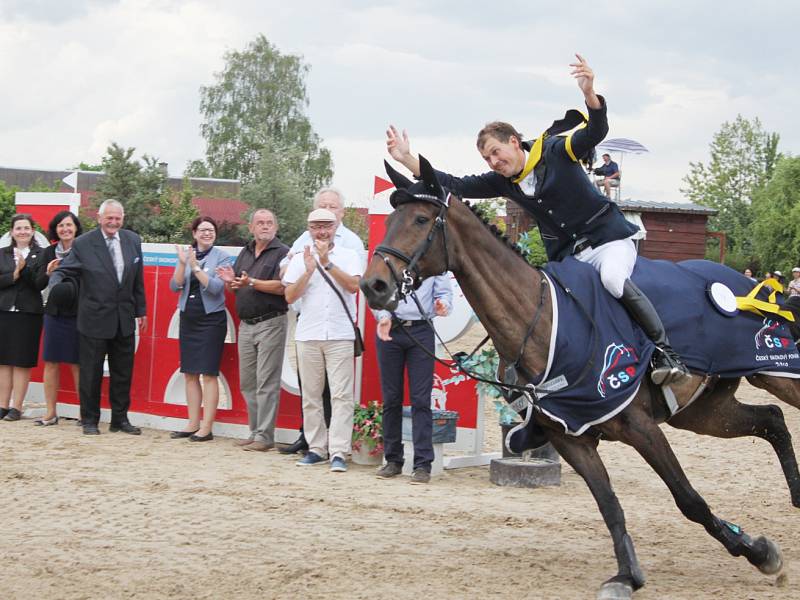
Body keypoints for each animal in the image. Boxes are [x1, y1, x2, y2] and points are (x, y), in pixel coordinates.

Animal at [360, 157, 796, 600]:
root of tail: (752, 284)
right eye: (390, 219)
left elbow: (687, 498)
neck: (542, 322)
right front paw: (628, 575)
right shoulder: (572, 438)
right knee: (772, 419)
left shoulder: (641, 427)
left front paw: (758, 552)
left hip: (777, 372)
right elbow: (609, 505)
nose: (373, 285)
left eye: (420, 219)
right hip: (702, 411)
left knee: (776, 411)